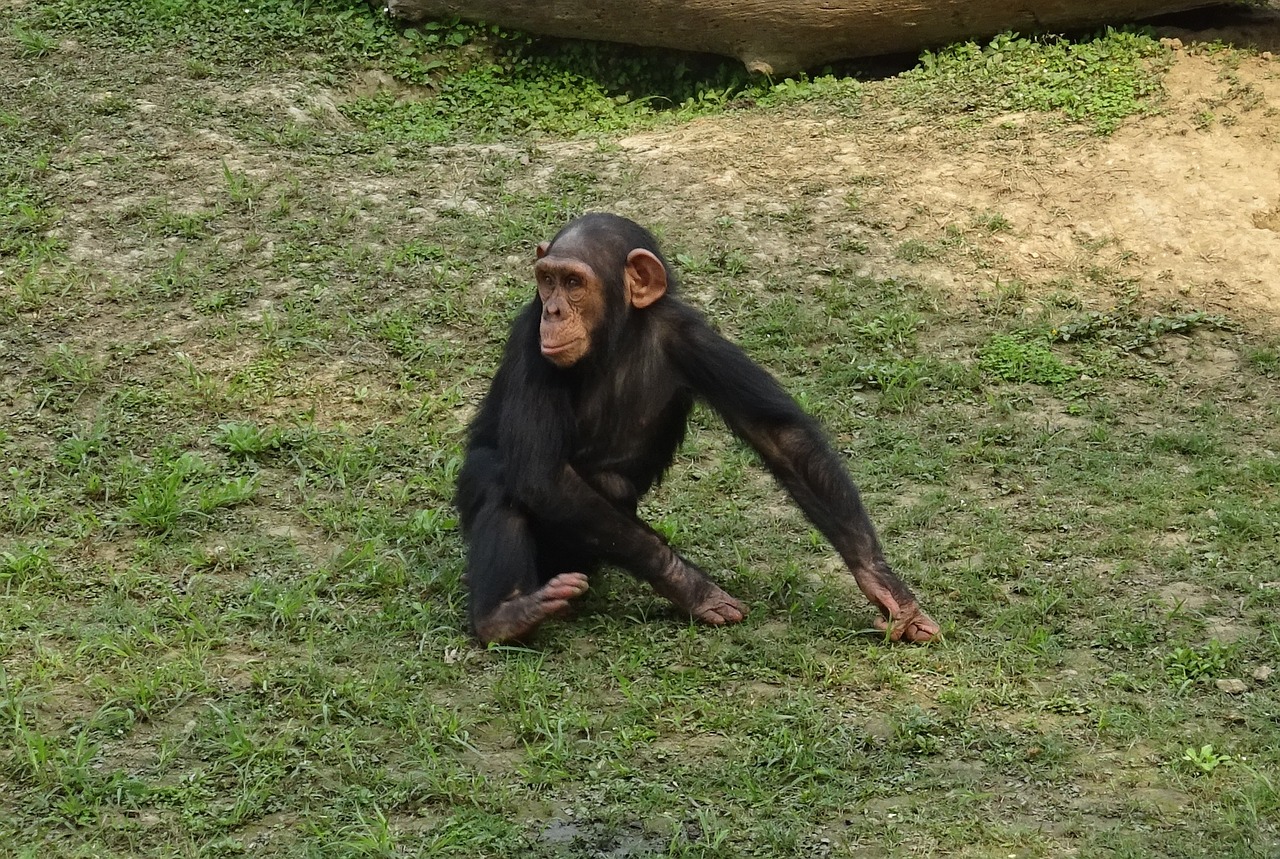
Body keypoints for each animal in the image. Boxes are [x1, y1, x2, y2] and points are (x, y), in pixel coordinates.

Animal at [455, 215, 936, 645]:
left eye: (573, 283)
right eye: (547, 280)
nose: (553, 311)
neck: (618, 338)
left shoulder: (694, 339)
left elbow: (779, 436)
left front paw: (884, 585)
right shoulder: (528, 338)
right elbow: (541, 474)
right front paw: (692, 588)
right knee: (498, 475)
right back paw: (507, 615)